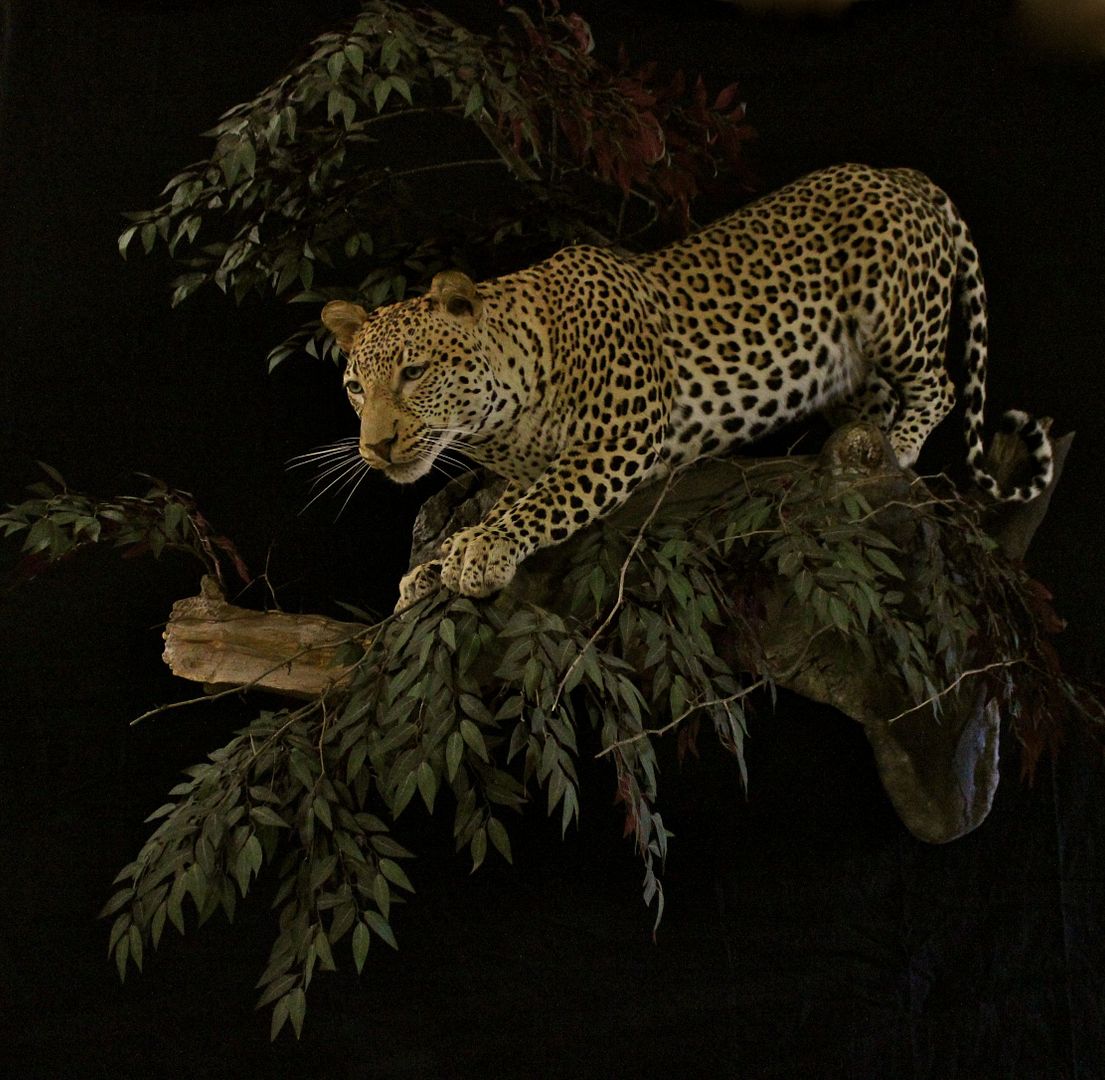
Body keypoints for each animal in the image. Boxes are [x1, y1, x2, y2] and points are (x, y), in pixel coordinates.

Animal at [320, 163, 1053, 609]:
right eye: (356, 387)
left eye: (414, 372)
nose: (375, 448)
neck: (501, 418)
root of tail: (898, 175)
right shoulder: (534, 461)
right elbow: (506, 501)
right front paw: (436, 562)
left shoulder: (620, 439)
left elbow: (543, 503)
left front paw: (482, 552)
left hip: (898, 316)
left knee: (940, 385)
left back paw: (899, 446)